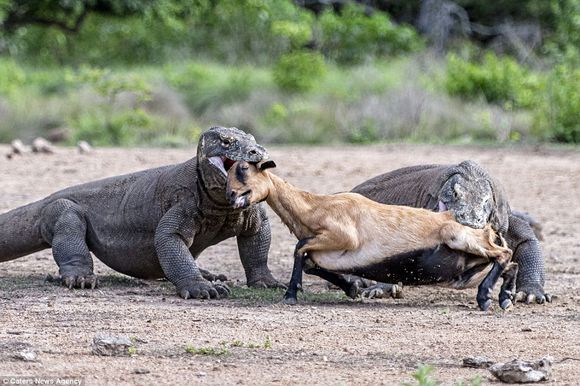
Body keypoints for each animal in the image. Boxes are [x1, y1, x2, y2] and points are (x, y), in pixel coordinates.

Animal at [227, 159, 512, 308]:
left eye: (244, 169)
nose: (231, 195)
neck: (314, 208)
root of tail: (488, 230)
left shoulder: (344, 236)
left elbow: (300, 248)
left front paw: (290, 293)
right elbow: (308, 260)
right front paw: (351, 287)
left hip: (460, 237)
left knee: (504, 254)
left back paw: (486, 298)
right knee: (509, 263)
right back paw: (504, 297)